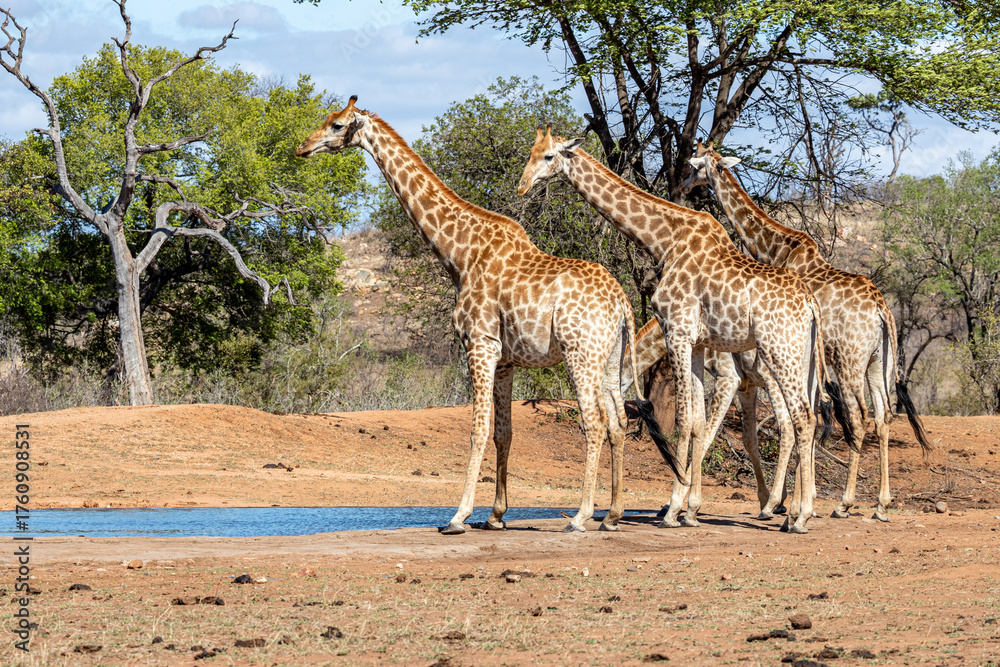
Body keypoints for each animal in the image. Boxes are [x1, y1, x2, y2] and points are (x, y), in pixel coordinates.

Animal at [296, 97, 679, 535]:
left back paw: (581, 516)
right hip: (610, 358)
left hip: (579, 354)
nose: (302, 148)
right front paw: (496, 515)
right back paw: (612, 516)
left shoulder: (479, 345)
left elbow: (477, 430)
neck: (459, 254)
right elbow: (503, 433)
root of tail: (622, 304)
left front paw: (458, 515)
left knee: (596, 424)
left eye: (336, 124)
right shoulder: (506, 359)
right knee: (616, 424)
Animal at [519, 127, 829, 532]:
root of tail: (811, 306)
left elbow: (684, 421)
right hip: (801, 359)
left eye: (549, 156)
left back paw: (797, 514)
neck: (666, 241)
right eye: (531, 152)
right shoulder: (696, 343)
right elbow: (697, 423)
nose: (522, 186)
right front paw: (690, 509)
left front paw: (672, 510)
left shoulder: (678, 332)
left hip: (781, 353)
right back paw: (793, 510)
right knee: (807, 418)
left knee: (801, 420)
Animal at [679, 141, 932, 521]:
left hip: (849, 360)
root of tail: (881, 310)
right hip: (878, 361)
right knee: (884, 416)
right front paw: (796, 501)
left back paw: (844, 504)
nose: (682, 186)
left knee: (859, 418)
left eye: (694, 165)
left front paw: (787, 503)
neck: (775, 247)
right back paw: (881, 505)